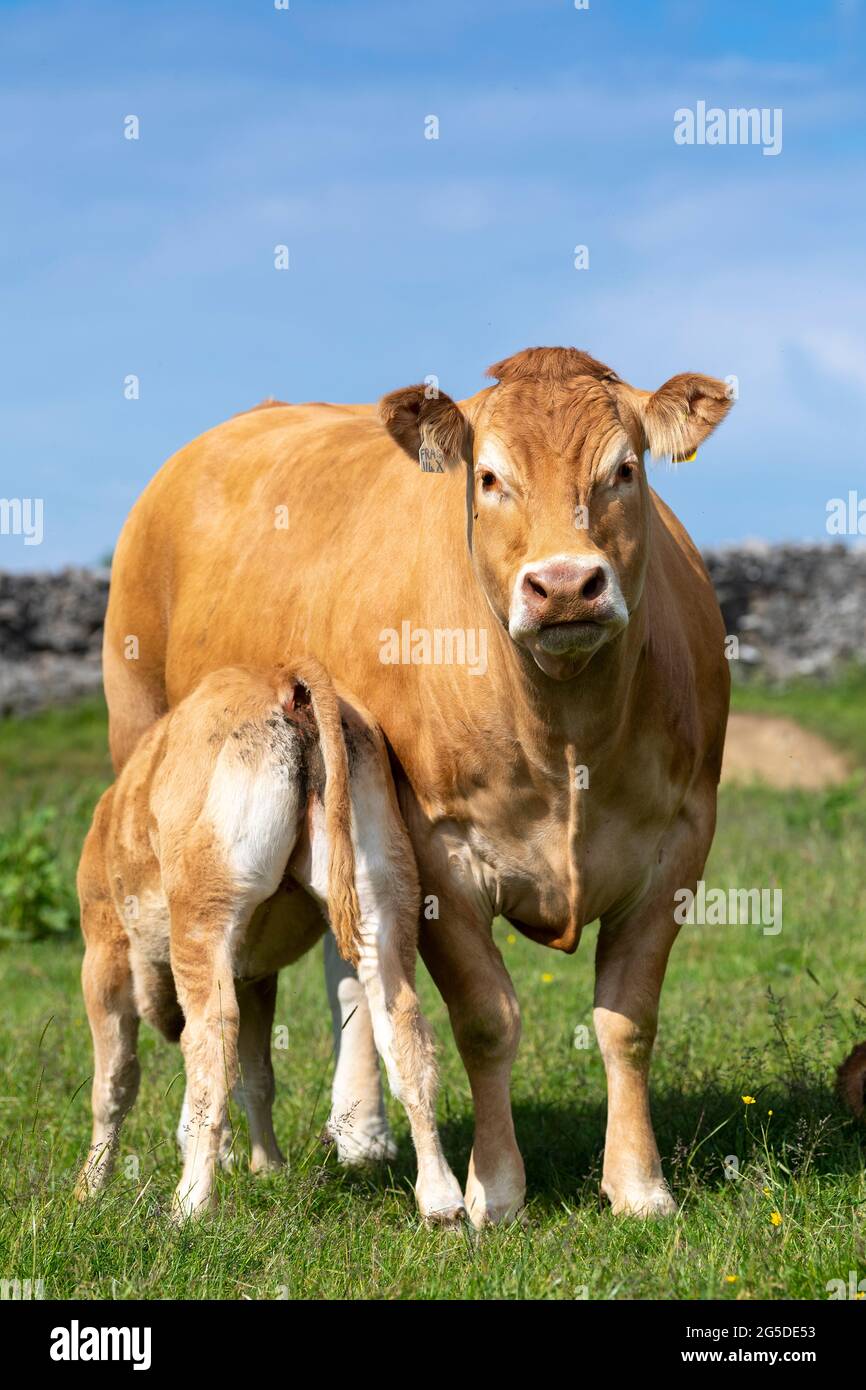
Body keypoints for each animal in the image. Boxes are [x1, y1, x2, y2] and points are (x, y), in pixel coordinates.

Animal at [76, 656, 467, 1223]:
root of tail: (284, 680)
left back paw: (191, 1205)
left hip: (204, 911)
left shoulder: (103, 950)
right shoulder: (256, 973)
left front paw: (89, 1188)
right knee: (405, 1030)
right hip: (383, 893)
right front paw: (270, 1168)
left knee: (211, 1041)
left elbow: (114, 1082)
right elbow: (258, 1074)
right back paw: (443, 1202)